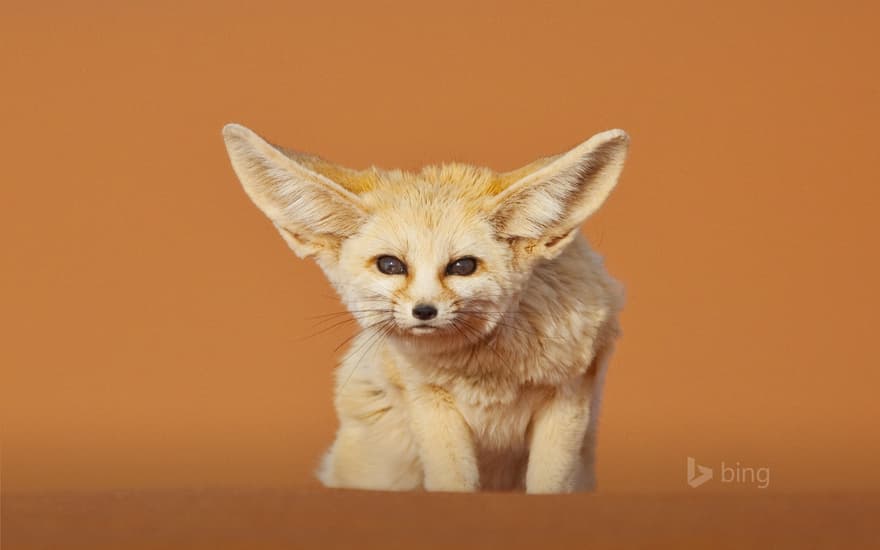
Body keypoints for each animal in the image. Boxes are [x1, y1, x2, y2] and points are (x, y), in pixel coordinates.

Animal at [223, 125, 628, 496]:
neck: (488, 372)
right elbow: (452, 482)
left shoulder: (570, 393)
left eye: (463, 266)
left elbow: (549, 485)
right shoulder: (428, 400)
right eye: (390, 265)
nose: (424, 311)